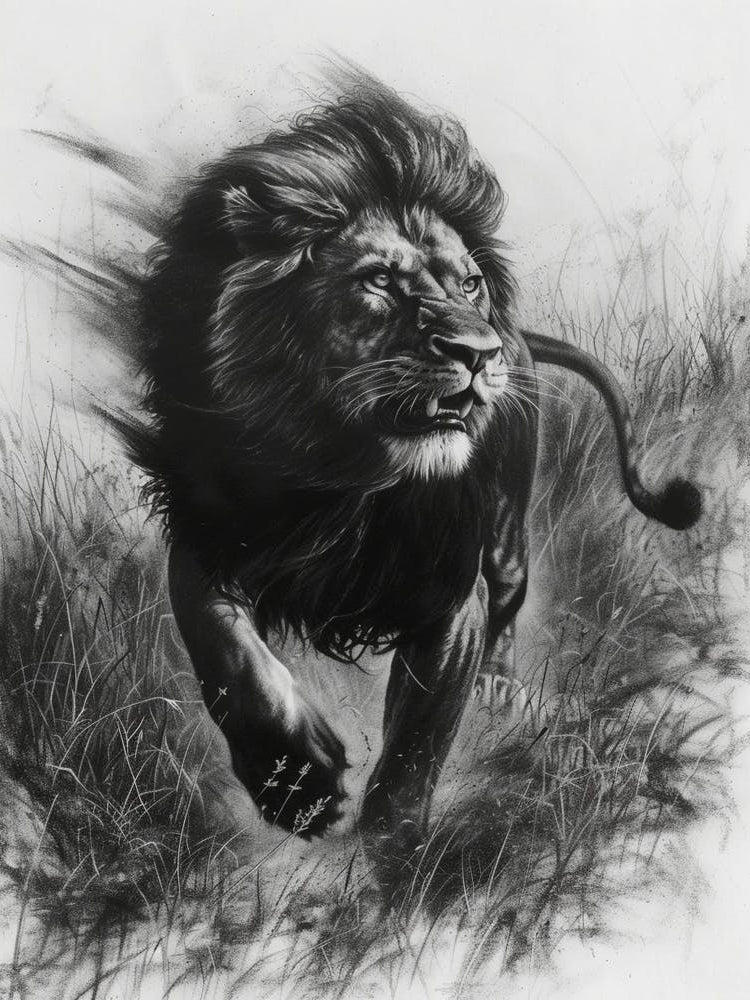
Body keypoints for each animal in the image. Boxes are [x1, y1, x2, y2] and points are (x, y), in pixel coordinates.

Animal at [99, 67, 701, 850]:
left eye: (469, 283)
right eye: (379, 281)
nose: (478, 353)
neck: (338, 478)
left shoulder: (449, 595)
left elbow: (415, 751)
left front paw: (393, 857)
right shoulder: (209, 533)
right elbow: (228, 657)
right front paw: (296, 785)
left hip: (506, 532)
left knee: (511, 600)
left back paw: (499, 687)